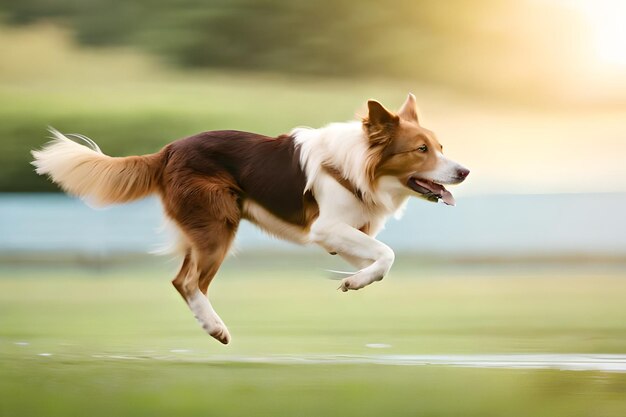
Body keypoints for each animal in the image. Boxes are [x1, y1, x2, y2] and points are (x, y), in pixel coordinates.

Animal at [30, 95, 468, 344]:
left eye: (441, 146)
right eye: (421, 149)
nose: (464, 172)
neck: (362, 165)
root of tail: (168, 150)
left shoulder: (343, 235)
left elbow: (380, 260)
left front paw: (353, 280)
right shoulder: (327, 228)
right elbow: (389, 254)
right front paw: (352, 282)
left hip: (208, 228)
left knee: (184, 278)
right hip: (218, 226)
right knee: (187, 281)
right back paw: (214, 328)